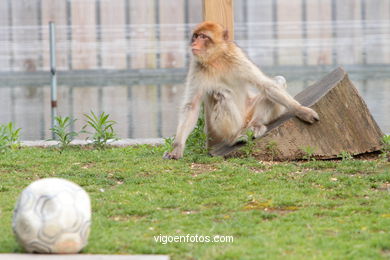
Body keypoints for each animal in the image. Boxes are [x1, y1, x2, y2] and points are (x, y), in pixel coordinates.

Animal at [163, 22, 318, 159]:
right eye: (195, 36)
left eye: (203, 37)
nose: (194, 43)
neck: (216, 58)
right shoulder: (196, 65)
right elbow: (191, 106)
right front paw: (177, 148)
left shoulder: (237, 57)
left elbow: (266, 85)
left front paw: (301, 110)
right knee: (222, 94)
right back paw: (233, 137)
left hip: (253, 112)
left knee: (277, 81)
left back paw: (256, 124)